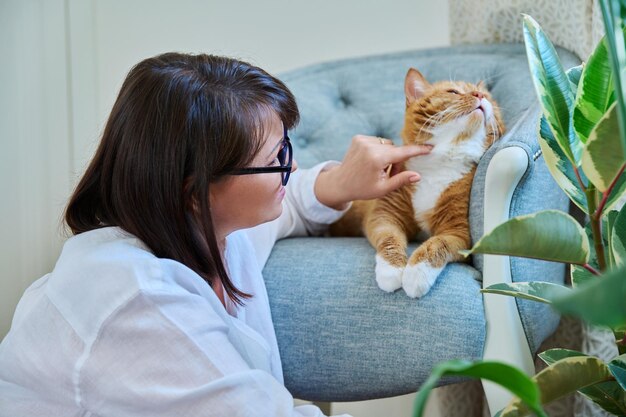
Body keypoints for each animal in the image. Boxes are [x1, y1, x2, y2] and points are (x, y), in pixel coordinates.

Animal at [332, 69, 502, 296]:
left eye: (489, 97)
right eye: (453, 91)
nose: (480, 95)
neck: (442, 160)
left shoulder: (458, 231)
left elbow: (436, 244)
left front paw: (416, 274)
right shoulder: (385, 214)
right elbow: (389, 238)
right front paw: (391, 271)